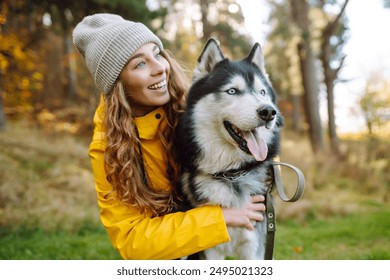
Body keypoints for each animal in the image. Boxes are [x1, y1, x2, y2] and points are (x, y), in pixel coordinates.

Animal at [177, 38, 284, 260]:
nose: (269, 112)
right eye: (232, 91)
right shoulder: (210, 251)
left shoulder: (254, 249)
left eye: (262, 92)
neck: (231, 173)